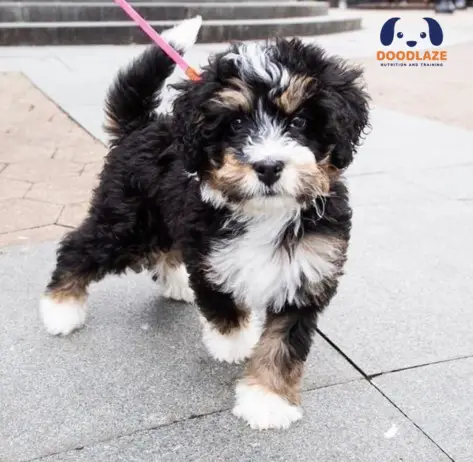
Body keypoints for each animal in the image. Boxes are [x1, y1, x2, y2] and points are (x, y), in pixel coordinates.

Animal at [38, 17, 370, 430]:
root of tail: (141, 126)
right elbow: (222, 301)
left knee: (161, 249)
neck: (265, 212)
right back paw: (60, 309)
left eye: (299, 121)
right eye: (237, 122)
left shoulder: (308, 267)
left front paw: (268, 399)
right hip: (129, 222)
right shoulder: (208, 251)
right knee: (80, 246)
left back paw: (173, 284)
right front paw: (233, 343)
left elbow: (283, 342)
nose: (268, 167)